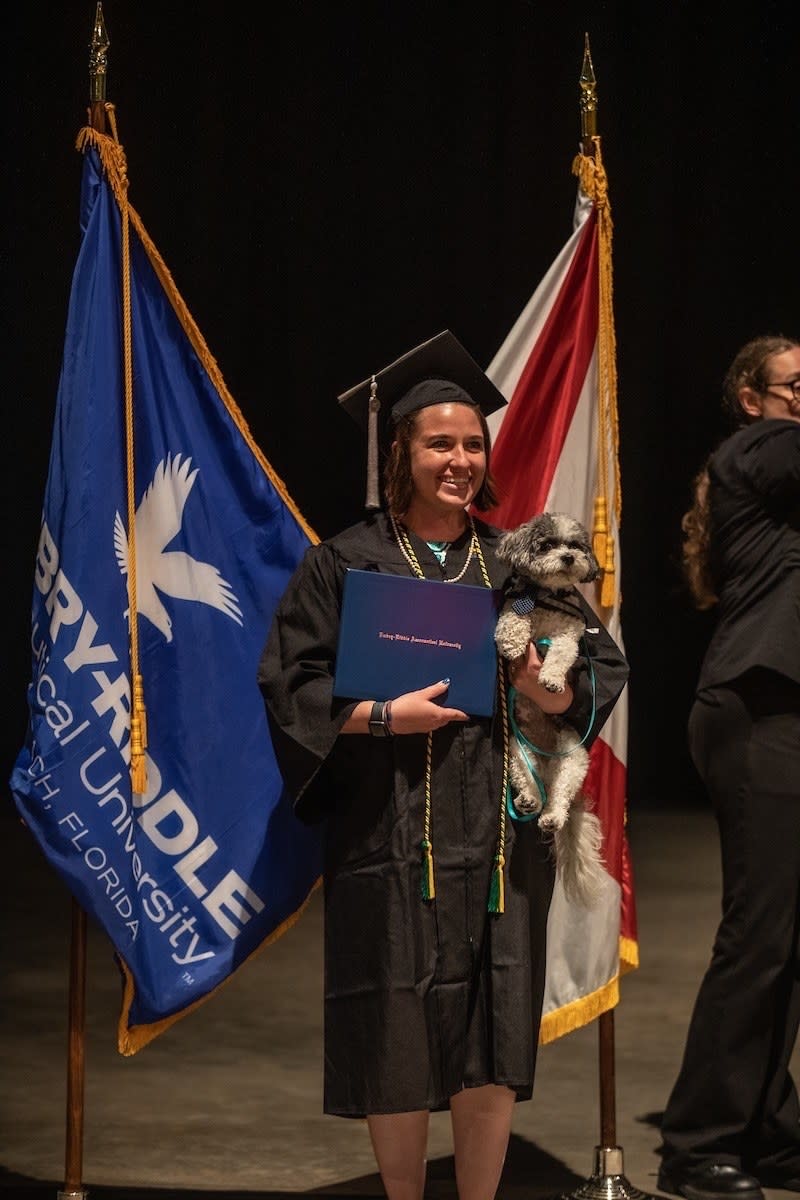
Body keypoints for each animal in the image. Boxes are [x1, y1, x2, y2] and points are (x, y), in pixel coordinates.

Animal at [496, 511, 604, 902]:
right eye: (547, 545)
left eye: (576, 545)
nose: (570, 558)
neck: (546, 597)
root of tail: (545, 764)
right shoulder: (515, 605)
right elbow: (512, 619)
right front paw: (511, 641)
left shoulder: (569, 635)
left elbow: (560, 654)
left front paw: (553, 680)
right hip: (515, 749)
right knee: (527, 782)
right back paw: (528, 799)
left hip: (572, 758)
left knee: (558, 799)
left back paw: (551, 815)